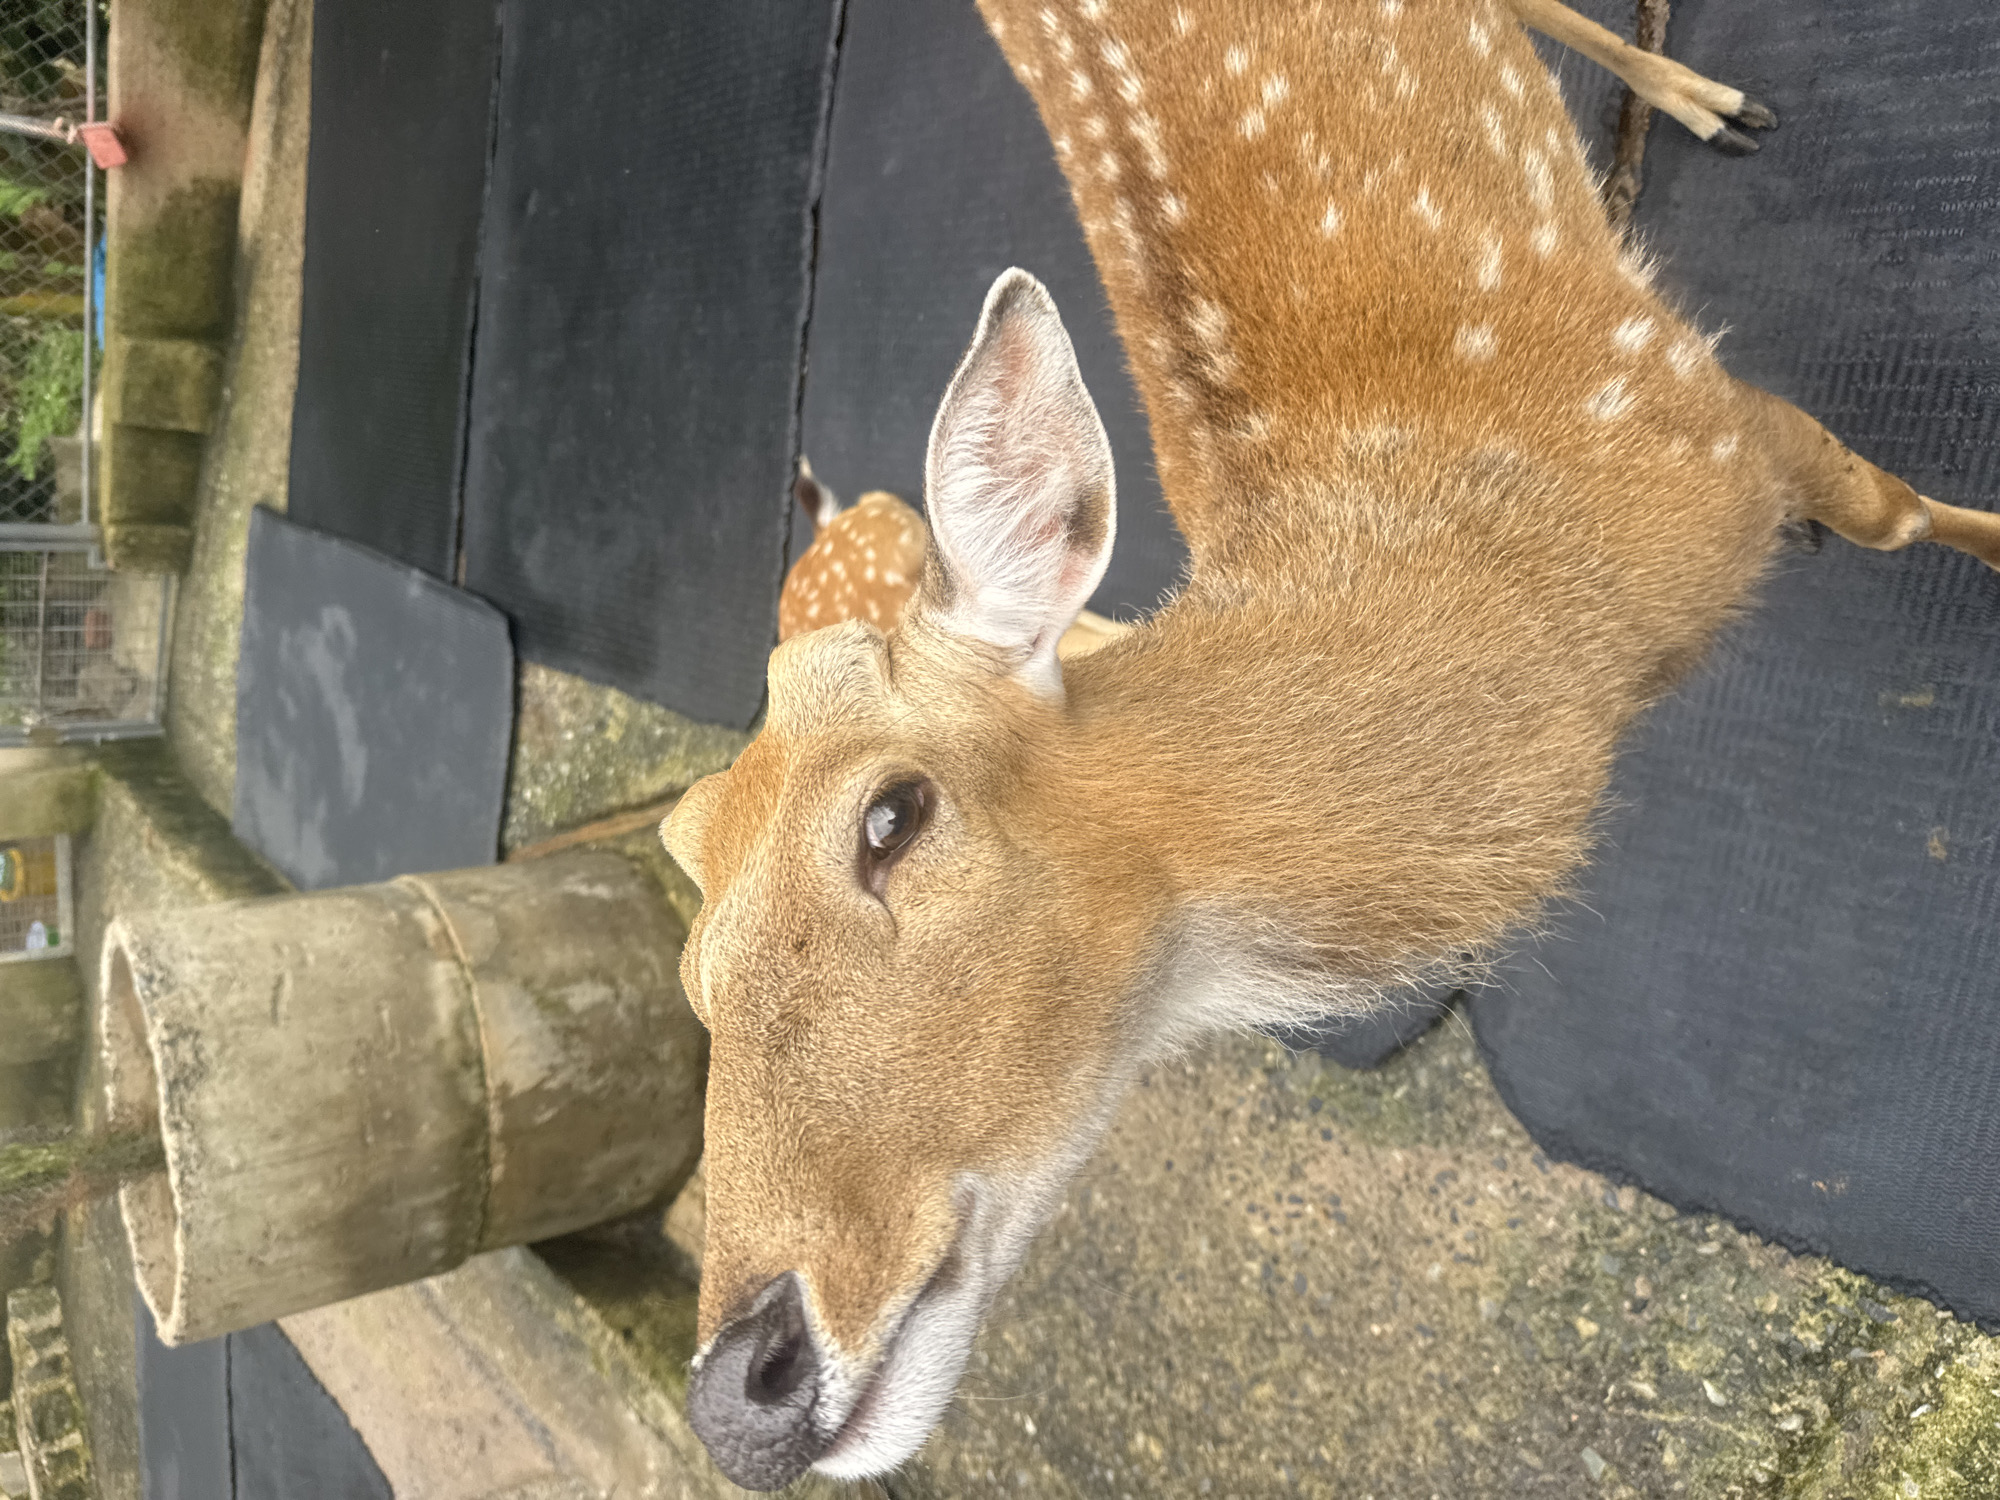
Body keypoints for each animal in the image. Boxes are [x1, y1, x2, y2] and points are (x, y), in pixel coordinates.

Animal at [661, 0, 2000, 1488]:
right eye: (692, 980)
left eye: (893, 816)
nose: (738, 1391)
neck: (1550, 614)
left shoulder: (1705, 411)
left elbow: (1896, 510)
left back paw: (1711, 102)